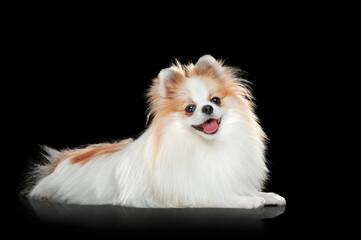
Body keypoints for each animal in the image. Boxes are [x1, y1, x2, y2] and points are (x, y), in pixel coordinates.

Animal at [24, 54, 284, 208]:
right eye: (190, 108)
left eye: (216, 100)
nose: (208, 108)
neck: (204, 145)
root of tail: (66, 158)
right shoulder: (192, 192)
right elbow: (221, 196)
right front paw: (250, 200)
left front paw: (269, 196)